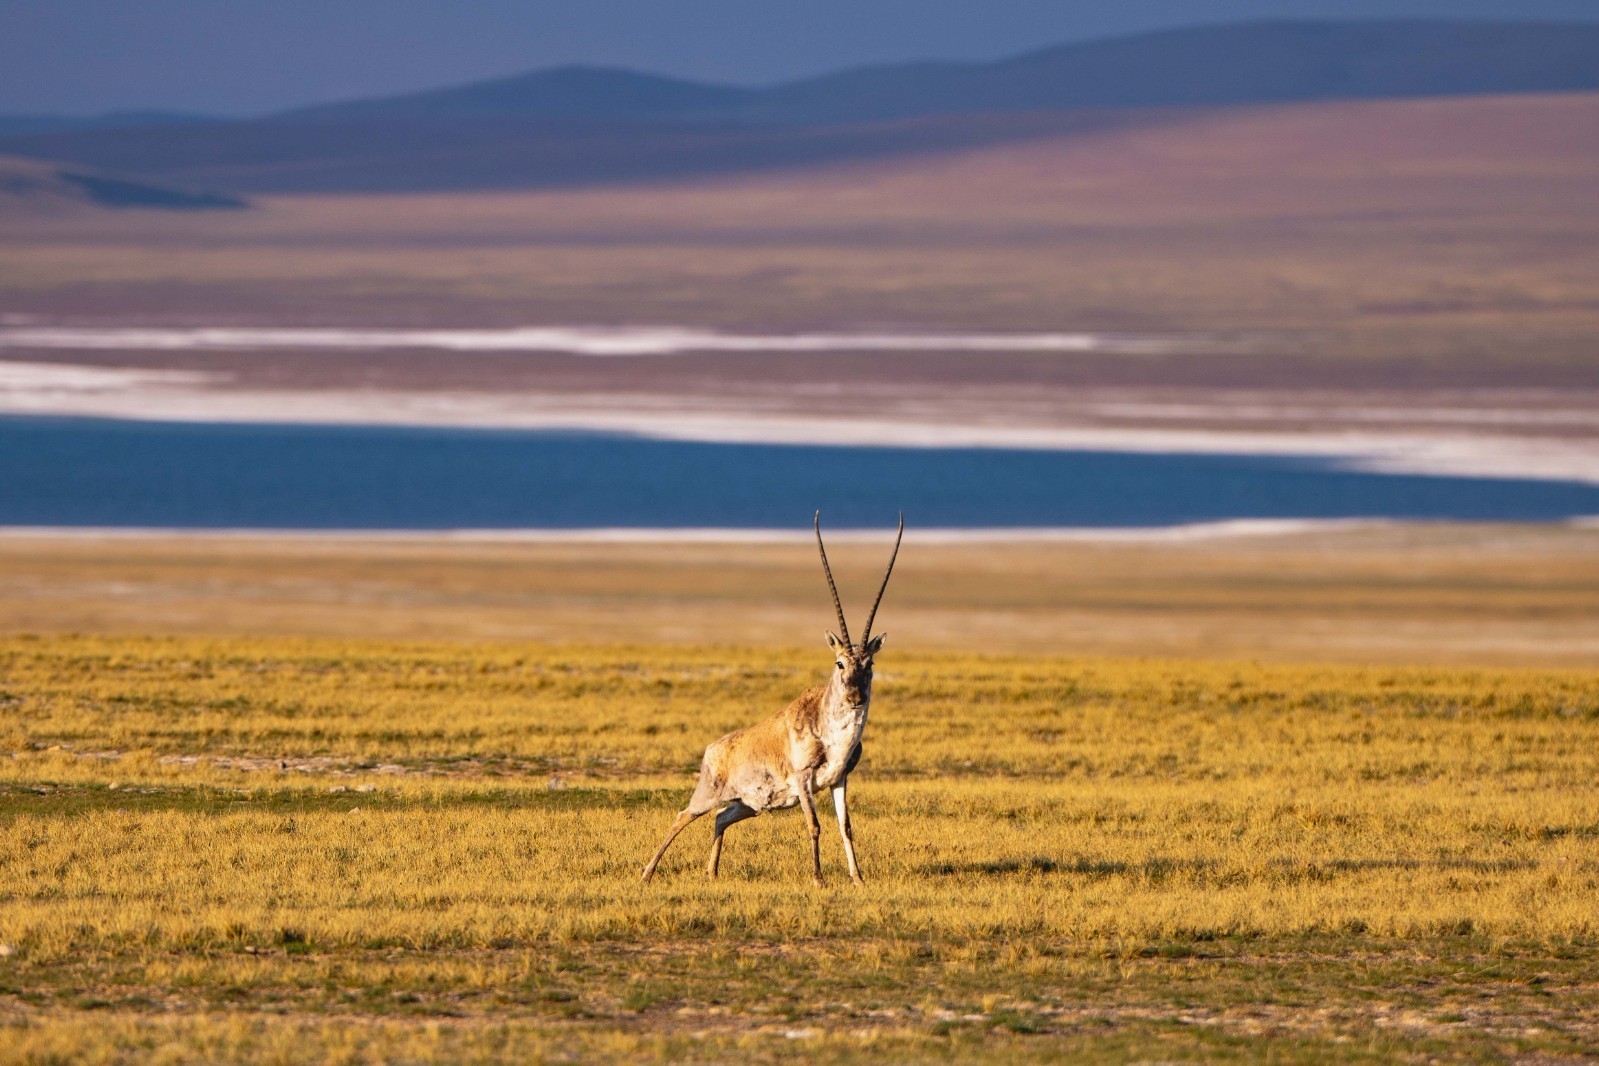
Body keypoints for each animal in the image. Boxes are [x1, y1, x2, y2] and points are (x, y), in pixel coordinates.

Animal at [642, 511, 908, 888]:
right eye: (839, 662)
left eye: (869, 664)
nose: (855, 697)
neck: (827, 727)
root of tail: (713, 748)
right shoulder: (803, 780)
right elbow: (815, 825)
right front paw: (819, 879)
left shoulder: (840, 779)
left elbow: (846, 827)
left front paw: (858, 880)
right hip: (708, 794)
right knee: (683, 815)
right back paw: (647, 873)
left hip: (748, 805)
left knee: (720, 818)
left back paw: (712, 873)